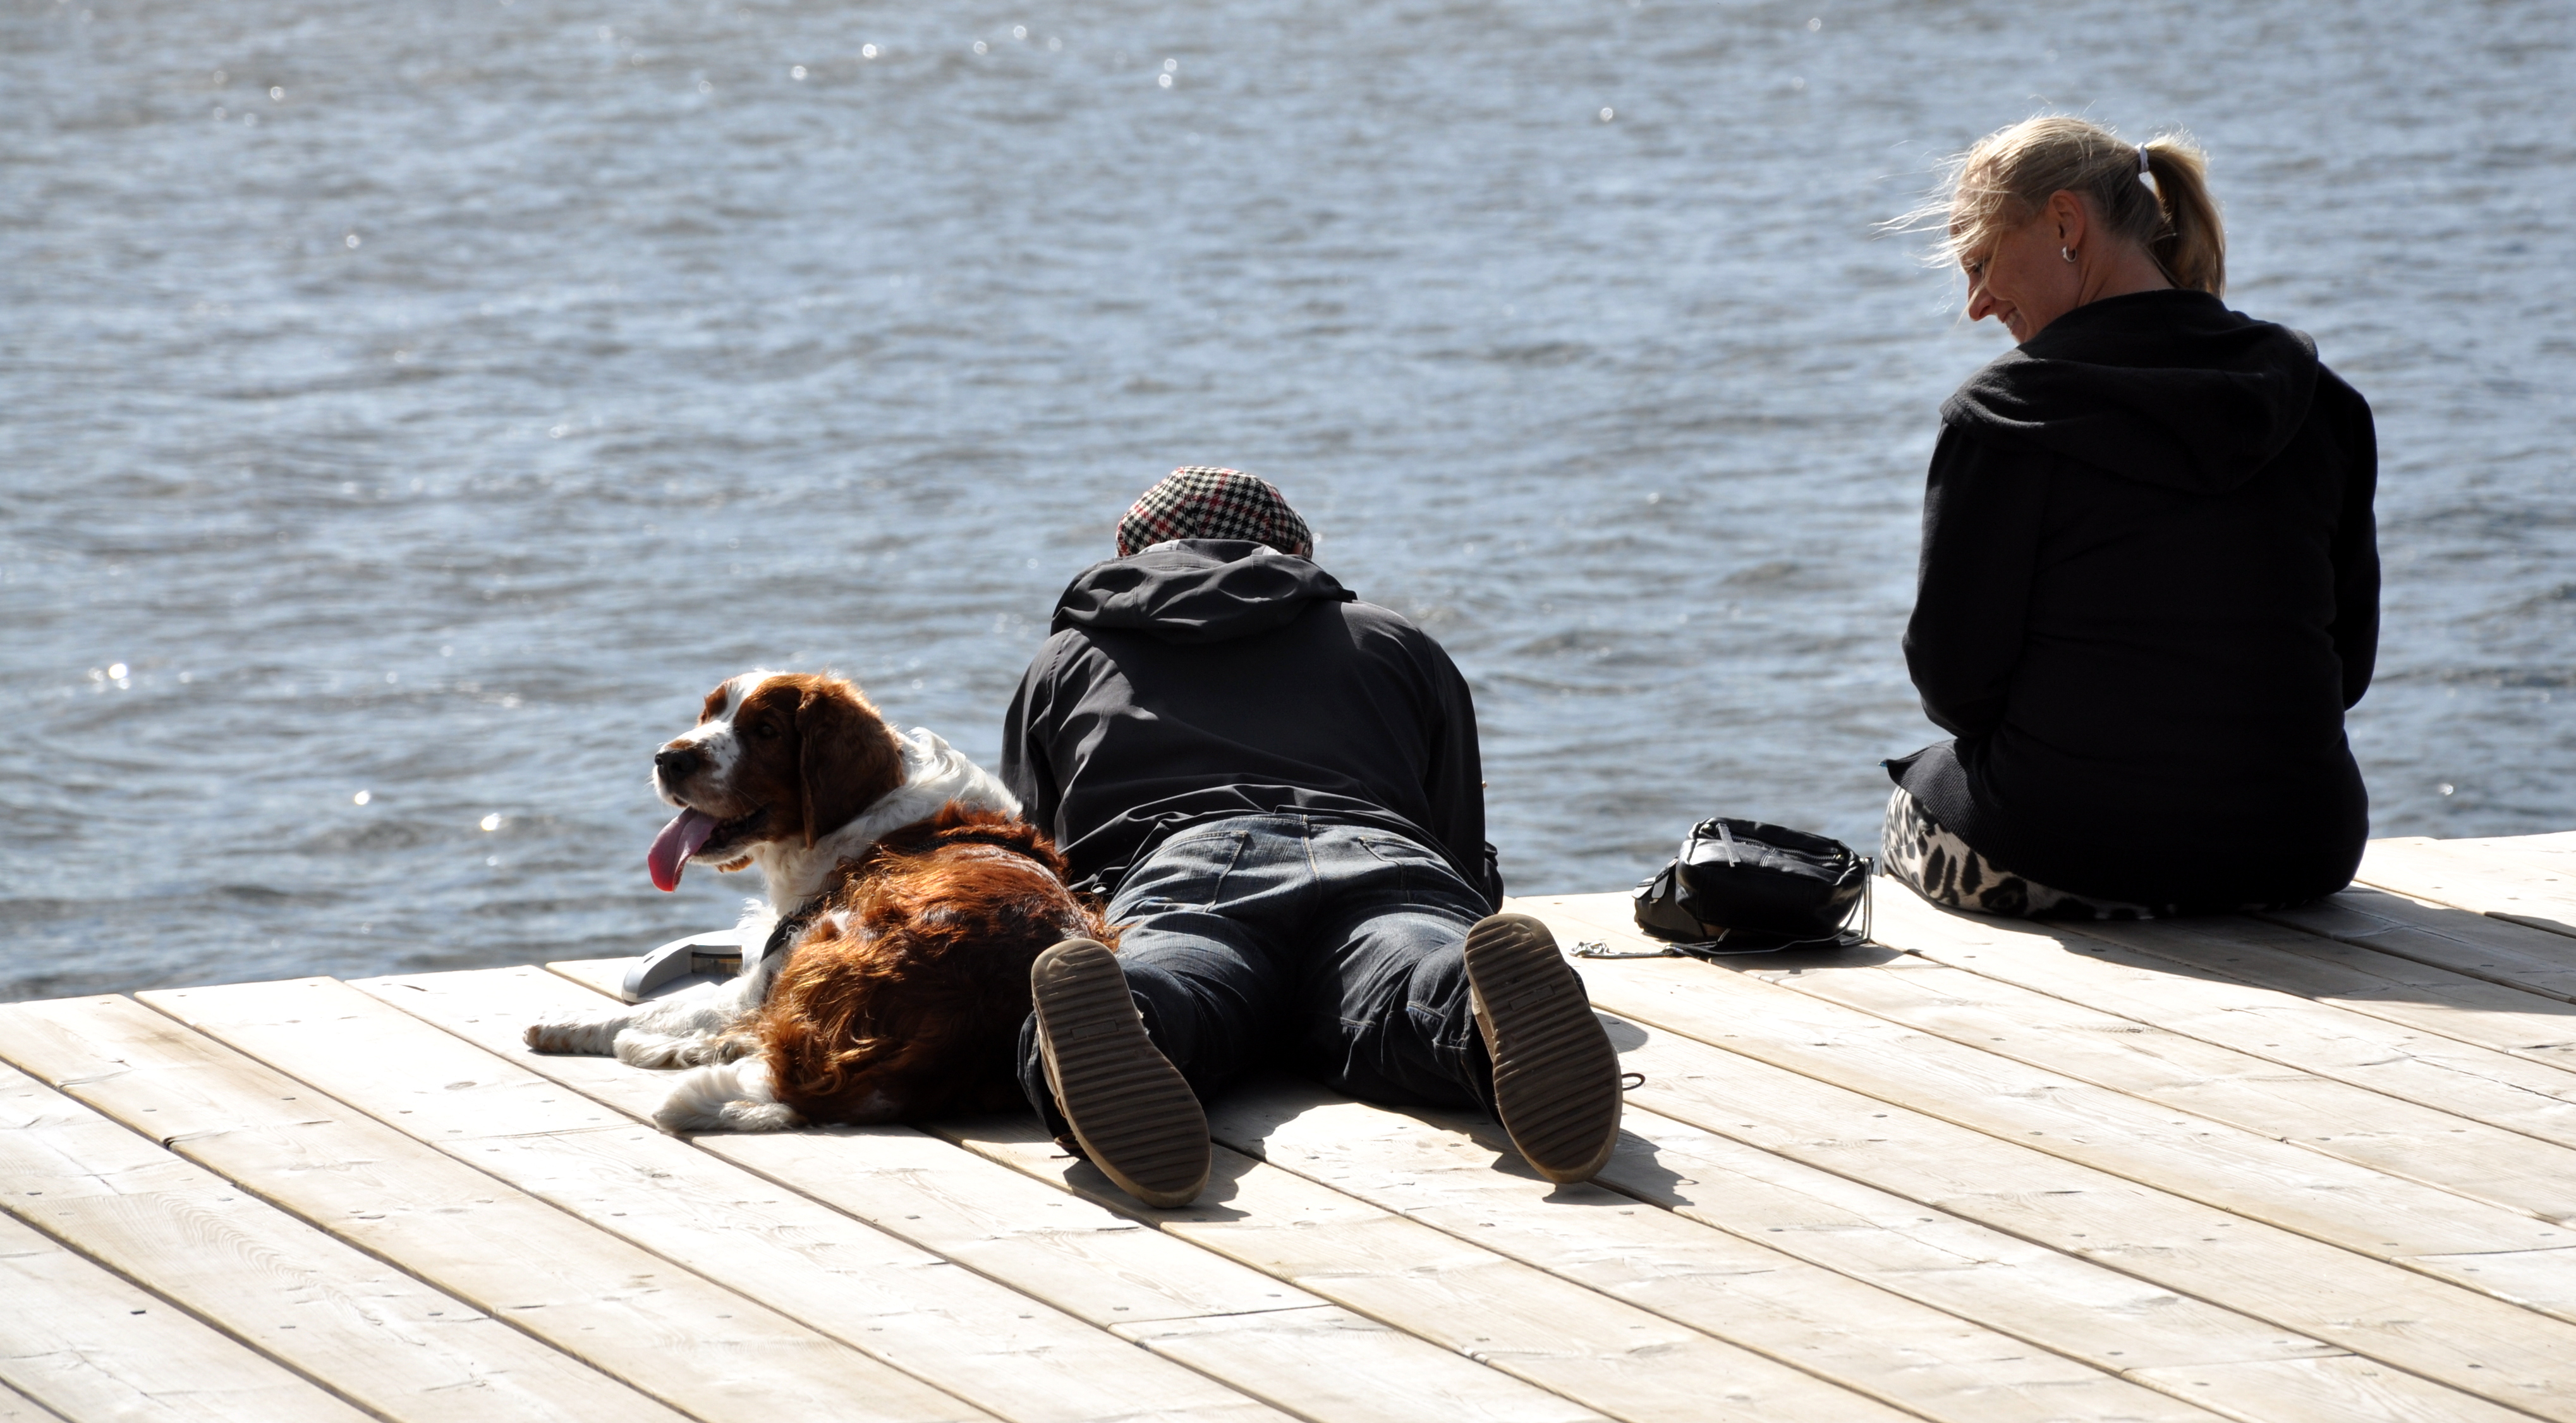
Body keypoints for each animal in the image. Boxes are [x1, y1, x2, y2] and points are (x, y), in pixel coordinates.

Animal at [524, 670, 1107, 1132]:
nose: (670, 759)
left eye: (765, 730)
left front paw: (566, 1024)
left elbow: (659, 1008)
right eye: (709, 712)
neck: (869, 816)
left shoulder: (763, 977)